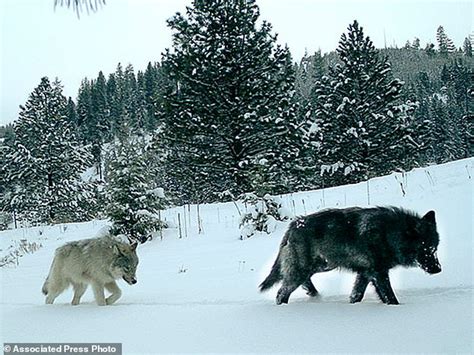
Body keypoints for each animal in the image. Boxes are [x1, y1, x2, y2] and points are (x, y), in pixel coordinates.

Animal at [260, 209, 440, 306]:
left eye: (434, 248)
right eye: (425, 249)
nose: (438, 269)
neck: (388, 234)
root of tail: (292, 226)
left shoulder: (365, 273)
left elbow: (356, 294)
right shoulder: (379, 273)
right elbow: (389, 296)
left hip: (320, 266)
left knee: (301, 281)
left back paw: (315, 295)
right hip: (307, 268)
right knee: (281, 292)